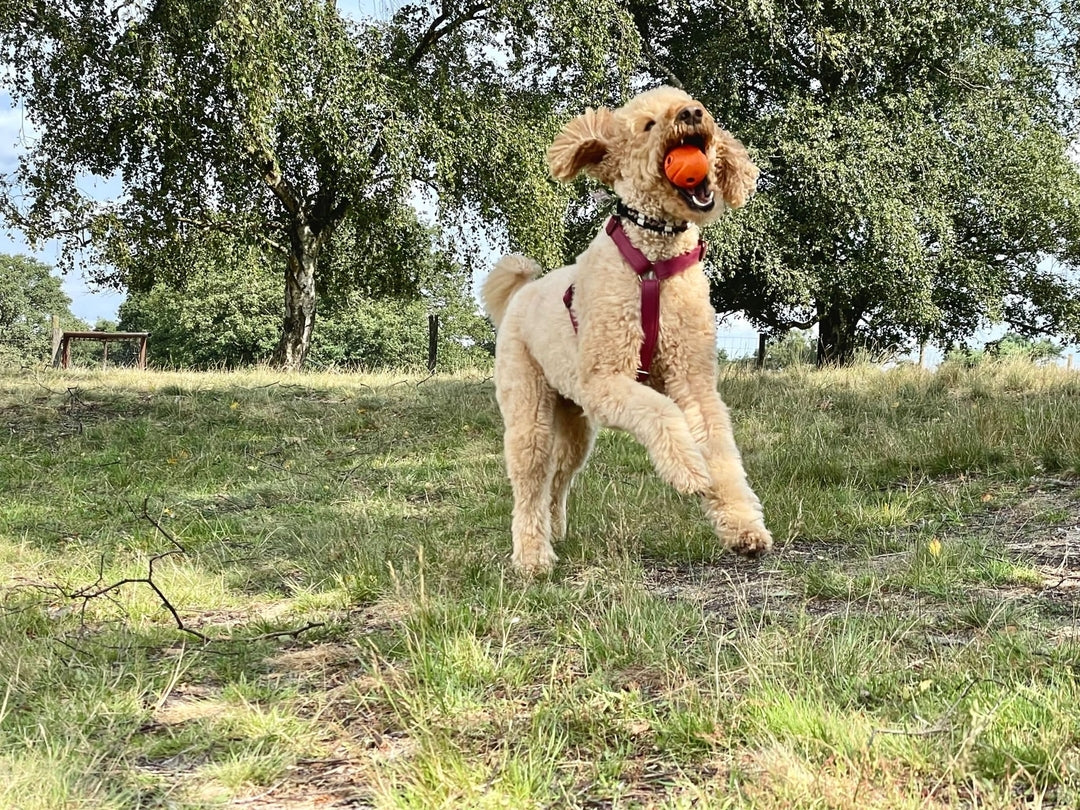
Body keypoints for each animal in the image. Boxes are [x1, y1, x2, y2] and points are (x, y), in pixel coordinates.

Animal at [479, 85, 768, 574]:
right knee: (530, 484)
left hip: (575, 423)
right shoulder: (607, 380)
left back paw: (555, 529)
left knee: (558, 477)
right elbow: (662, 413)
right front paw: (688, 471)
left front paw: (744, 527)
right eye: (649, 125)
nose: (692, 114)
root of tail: (522, 292)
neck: (653, 260)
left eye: (696, 104)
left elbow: (722, 452)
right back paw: (533, 556)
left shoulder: (694, 380)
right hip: (529, 410)